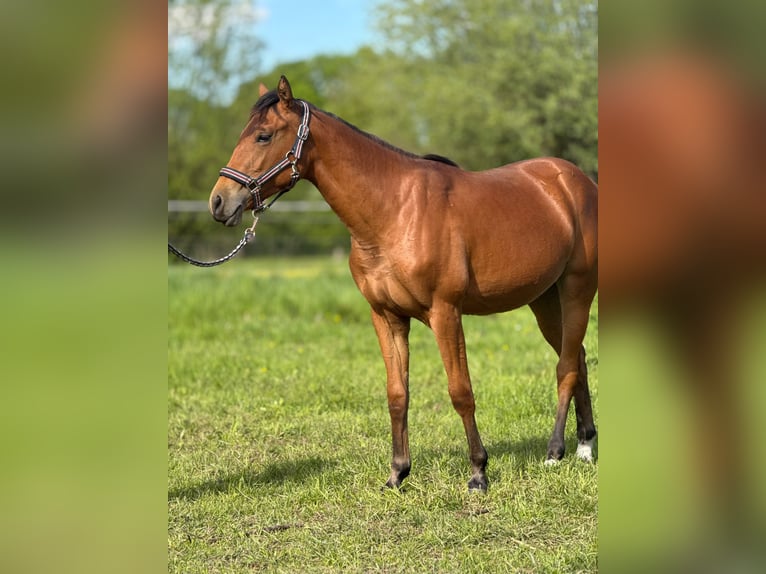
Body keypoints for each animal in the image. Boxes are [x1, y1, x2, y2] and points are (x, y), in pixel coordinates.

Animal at [209, 76, 598, 491]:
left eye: (263, 136)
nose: (219, 202)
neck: (394, 212)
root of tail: (576, 181)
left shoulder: (446, 313)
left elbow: (460, 392)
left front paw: (478, 472)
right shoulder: (386, 316)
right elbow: (397, 394)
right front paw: (397, 473)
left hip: (577, 290)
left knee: (566, 367)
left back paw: (556, 452)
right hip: (544, 299)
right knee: (577, 357)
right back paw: (585, 444)